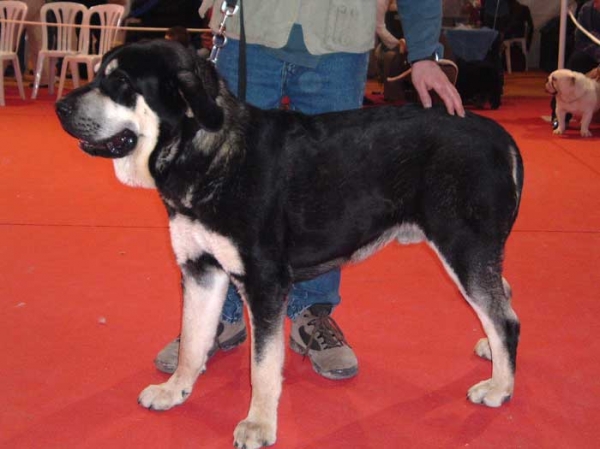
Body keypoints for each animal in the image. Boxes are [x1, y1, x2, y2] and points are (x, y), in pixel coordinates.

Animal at [57, 39, 524, 448]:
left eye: (121, 83)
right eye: (96, 74)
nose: (60, 106)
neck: (208, 155)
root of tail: (500, 138)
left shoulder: (264, 282)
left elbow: (263, 366)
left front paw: (259, 425)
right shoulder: (200, 270)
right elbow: (192, 339)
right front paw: (176, 390)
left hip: (463, 247)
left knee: (506, 319)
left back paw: (500, 387)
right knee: (503, 297)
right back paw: (492, 353)